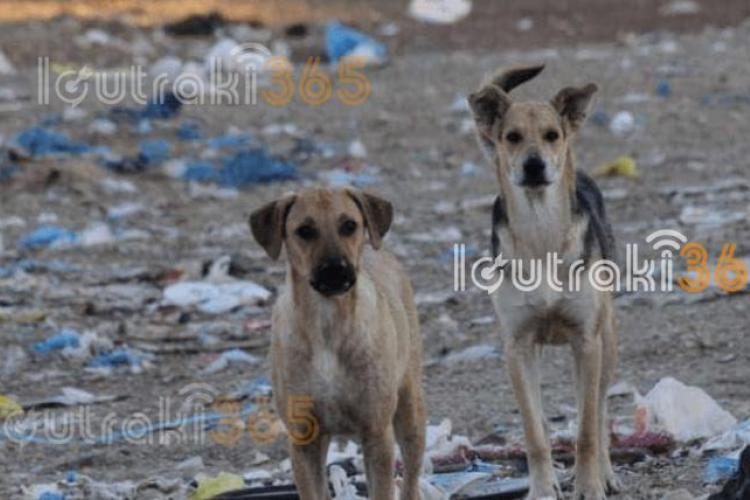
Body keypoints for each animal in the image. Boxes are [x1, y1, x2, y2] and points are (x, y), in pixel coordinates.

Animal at [250, 187, 426, 500]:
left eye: (349, 225)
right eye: (304, 230)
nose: (336, 270)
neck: (327, 323)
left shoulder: (376, 432)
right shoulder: (304, 439)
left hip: (410, 412)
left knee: (410, 481)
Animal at [468, 65, 620, 499]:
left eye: (552, 135)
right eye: (512, 137)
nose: (534, 165)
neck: (541, 234)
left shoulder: (587, 340)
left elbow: (586, 429)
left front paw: (589, 486)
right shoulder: (517, 346)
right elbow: (535, 433)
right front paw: (540, 489)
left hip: (607, 342)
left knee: (599, 411)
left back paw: (606, 473)